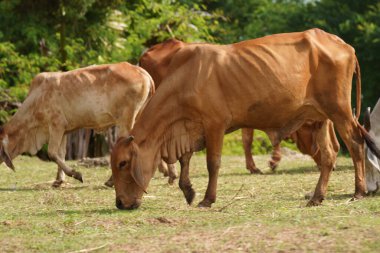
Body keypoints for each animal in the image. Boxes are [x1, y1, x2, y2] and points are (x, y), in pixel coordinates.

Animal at [0, 62, 154, 187]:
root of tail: (140, 70)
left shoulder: (56, 125)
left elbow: (52, 153)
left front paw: (76, 174)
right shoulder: (63, 131)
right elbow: (61, 154)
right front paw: (59, 180)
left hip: (126, 121)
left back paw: (111, 181)